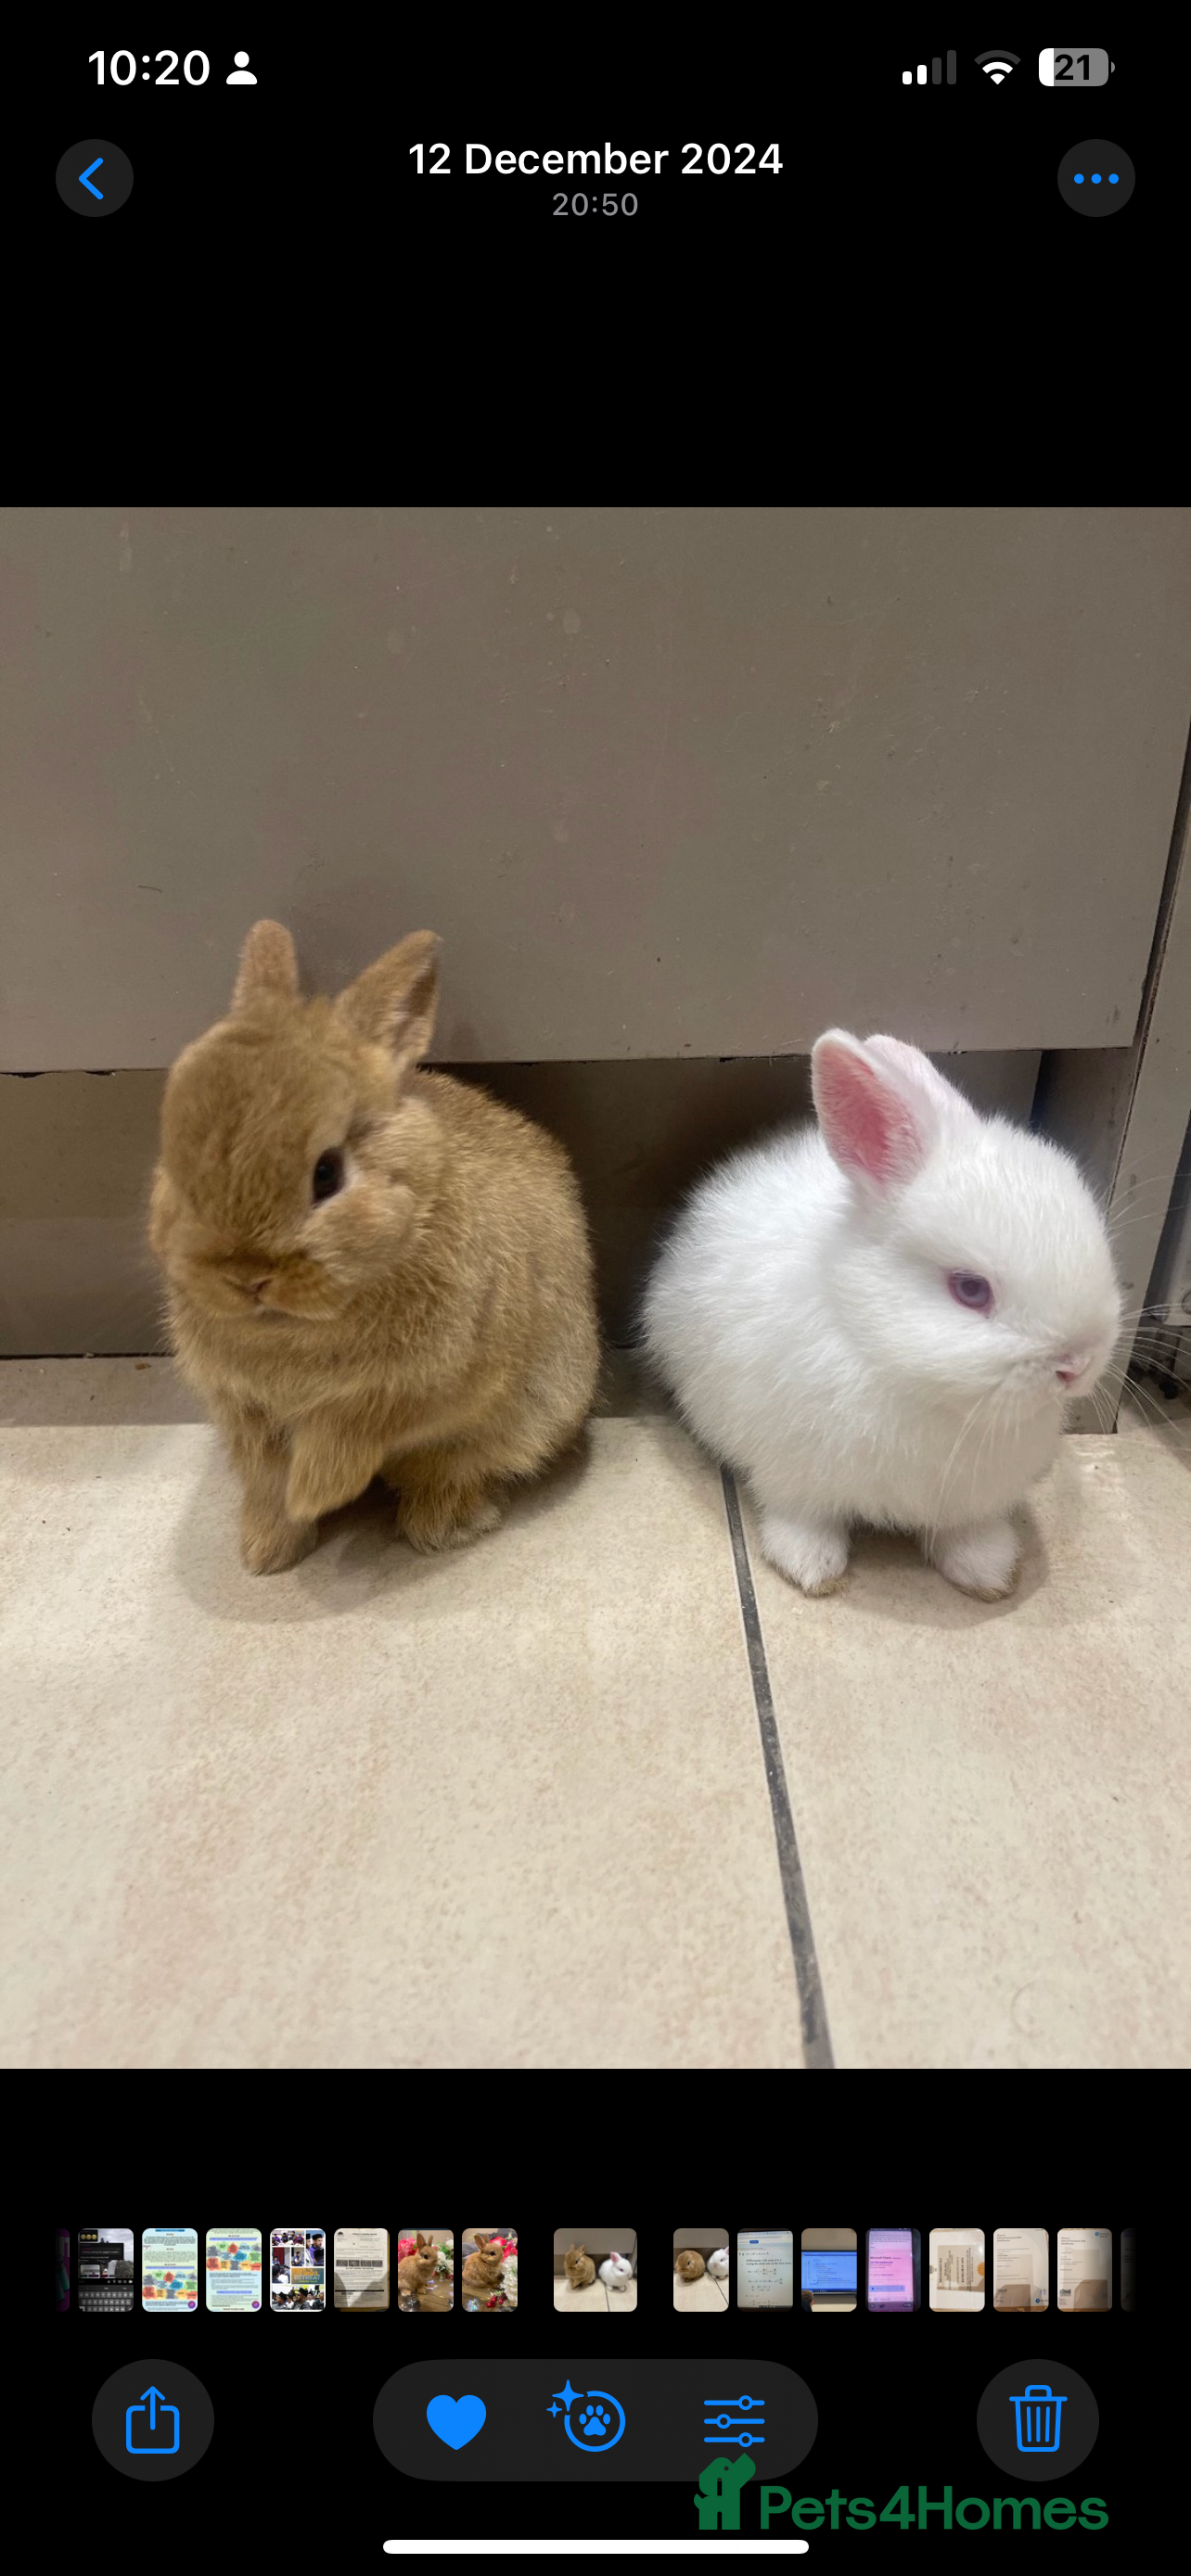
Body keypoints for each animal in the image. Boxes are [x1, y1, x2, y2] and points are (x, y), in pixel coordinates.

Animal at [149, 920, 600, 1574]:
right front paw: (268, 1549)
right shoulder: (245, 1410)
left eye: (328, 1174)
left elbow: (347, 1438)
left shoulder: (418, 1388)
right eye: (176, 1158)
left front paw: (314, 1493)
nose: (245, 1276)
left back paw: (438, 1527)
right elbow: (268, 1476)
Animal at [641, 1029, 1121, 1602]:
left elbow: (965, 1531)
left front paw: (988, 1572)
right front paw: (813, 1569)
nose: (1078, 1364)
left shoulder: (968, 1498)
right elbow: (802, 1518)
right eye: (970, 1290)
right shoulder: (793, 1472)